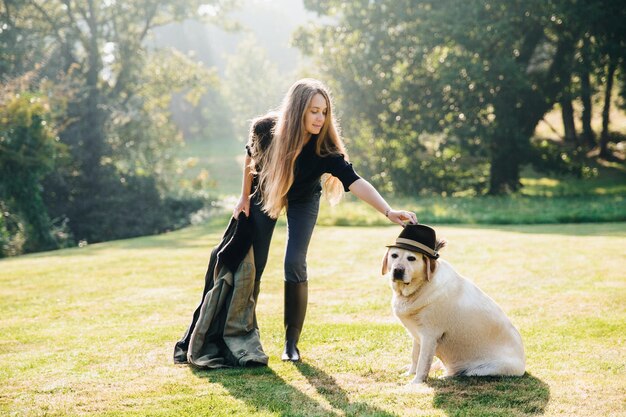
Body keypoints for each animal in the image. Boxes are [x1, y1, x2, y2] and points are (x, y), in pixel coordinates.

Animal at [380, 224, 520, 384]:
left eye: (411, 258)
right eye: (394, 255)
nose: (398, 270)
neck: (419, 288)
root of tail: (523, 366)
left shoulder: (429, 336)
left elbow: (422, 363)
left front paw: (416, 383)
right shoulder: (417, 335)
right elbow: (415, 357)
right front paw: (410, 373)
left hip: (482, 370)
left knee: (460, 373)